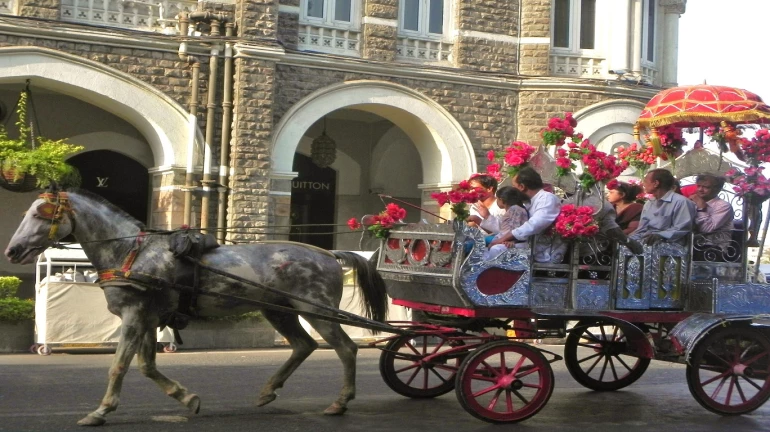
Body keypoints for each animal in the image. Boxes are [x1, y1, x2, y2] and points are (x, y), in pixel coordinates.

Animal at [4, 189, 390, 426]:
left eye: (41, 213)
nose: (12, 250)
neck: (131, 252)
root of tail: (329, 254)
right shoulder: (149, 317)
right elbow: (146, 366)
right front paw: (186, 398)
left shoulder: (134, 315)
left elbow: (119, 367)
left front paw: (100, 411)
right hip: (278, 310)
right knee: (303, 345)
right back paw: (269, 390)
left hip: (317, 312)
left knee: (346, 348)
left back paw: (340, 401)